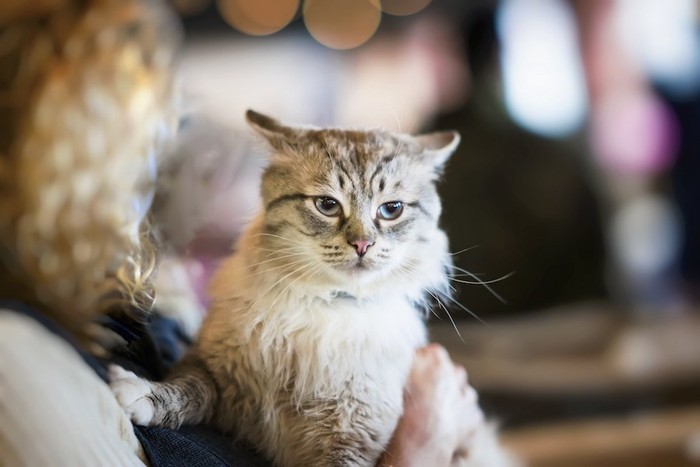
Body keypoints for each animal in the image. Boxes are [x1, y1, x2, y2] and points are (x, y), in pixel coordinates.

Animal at [110, 111, 464, 466]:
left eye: (392, 209)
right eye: (327, 205)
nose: (363, 244)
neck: (324, 300)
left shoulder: (349, 440)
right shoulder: (213, 372)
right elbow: (186, 388)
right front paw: (141, 393)